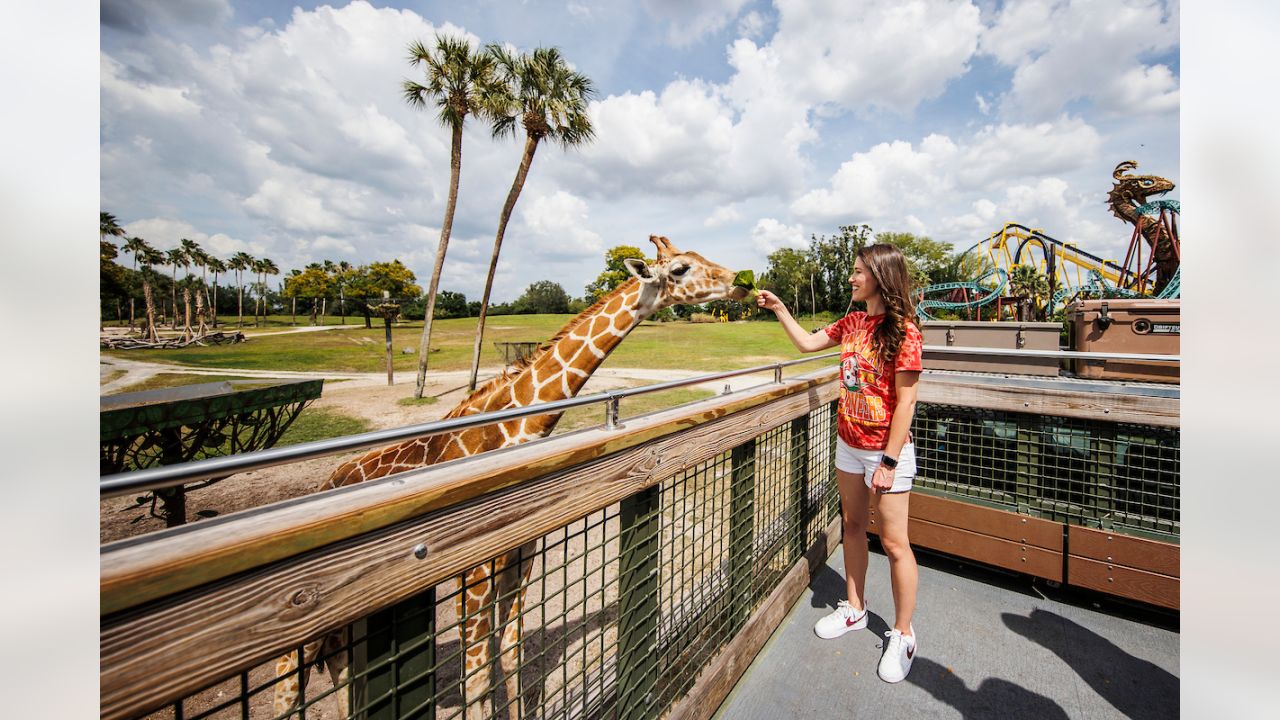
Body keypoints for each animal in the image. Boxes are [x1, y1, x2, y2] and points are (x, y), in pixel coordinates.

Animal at [270, 233, 747, 712]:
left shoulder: (521, 554)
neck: (514, 429)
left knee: (344, 680)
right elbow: (477, 676)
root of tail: (329, 479)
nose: (741, 281)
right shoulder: (474, 569)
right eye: (682, 268)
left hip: (346, 630)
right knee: (285, 693)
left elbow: (512, 654)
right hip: (303, 636)